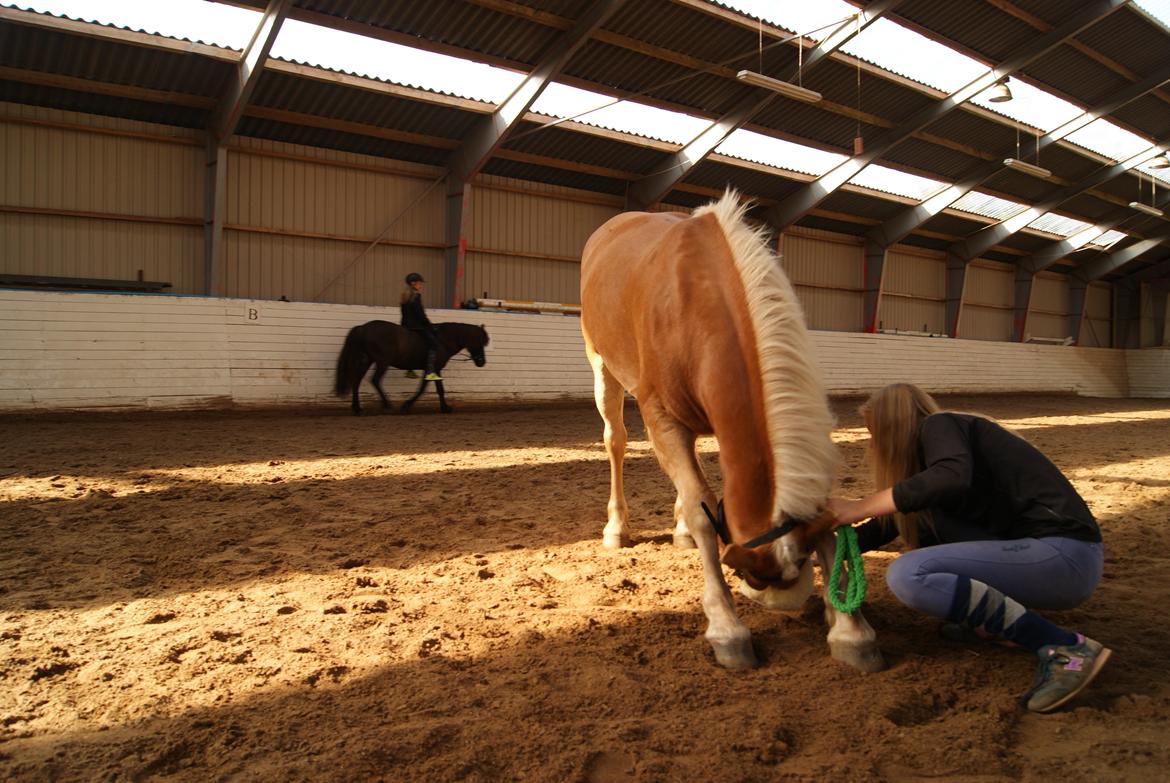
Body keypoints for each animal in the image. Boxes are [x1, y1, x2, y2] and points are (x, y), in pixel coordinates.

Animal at [334, 318, 489, 414]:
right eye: (480, 341)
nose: (482, 362)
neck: (443, 340)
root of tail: (363, 328)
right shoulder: (431, 368)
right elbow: (423, 388)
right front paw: (407, 406)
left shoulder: (436, 369)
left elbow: (440, 389)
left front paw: (445, 408)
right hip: (382, 362)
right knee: (375, 380)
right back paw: (387, 405)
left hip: (367, 360)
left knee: (356, 381)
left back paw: (357, 408)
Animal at [580, 190, 879, 674]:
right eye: (748, 574)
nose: (776, 600)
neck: (699, 300)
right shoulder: (661, 417)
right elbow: (704, 512)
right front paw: (727, 628)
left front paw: (850, 630)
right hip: (602, 365)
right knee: (616, 441)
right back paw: (617, 527)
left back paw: (678, 529)